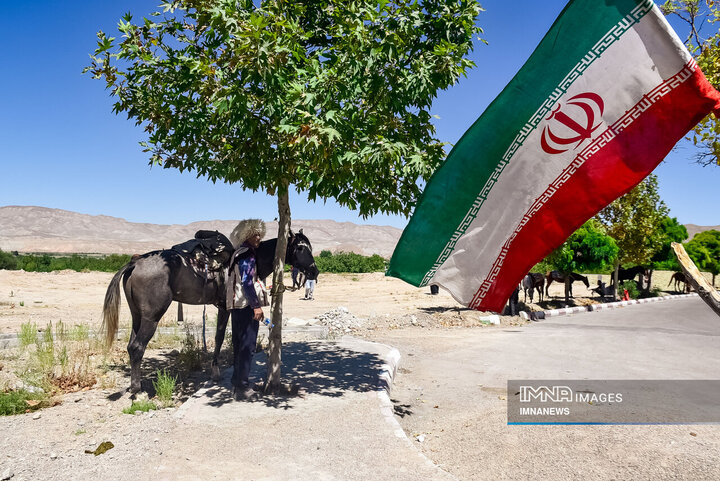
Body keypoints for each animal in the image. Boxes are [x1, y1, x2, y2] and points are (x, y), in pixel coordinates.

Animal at [100, 230, 318, 394]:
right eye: (300, 247)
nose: (314, 271)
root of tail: (135, 262)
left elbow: (232, 339)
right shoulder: (226, 308)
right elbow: (221, 338)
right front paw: (217, 373)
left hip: (137, 316)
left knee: (131, 346)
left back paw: (133, 386)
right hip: (151, 318)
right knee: (138, 347)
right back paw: (138, 390)